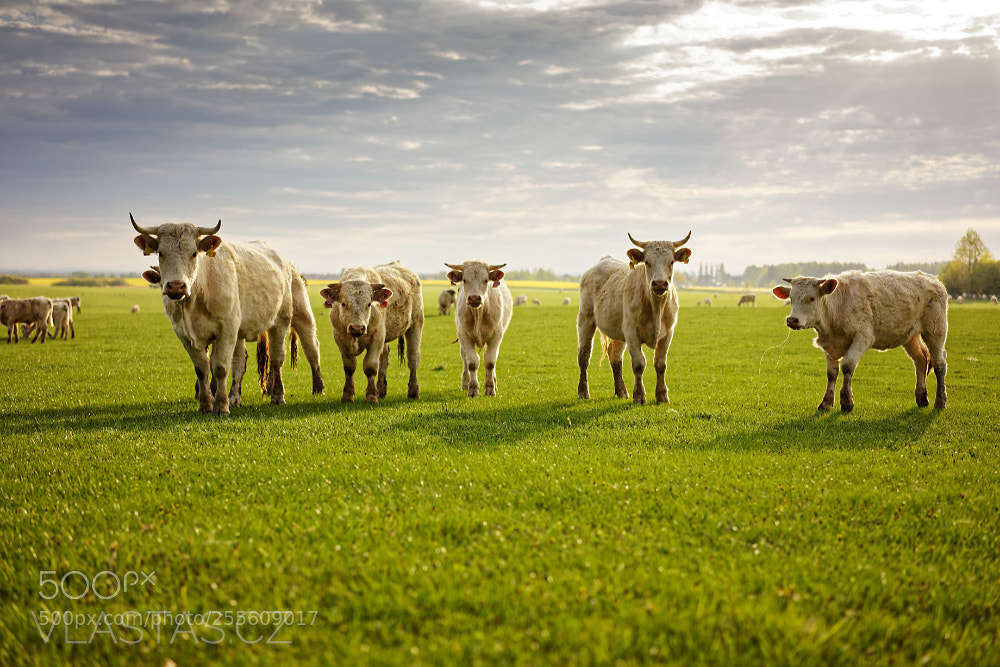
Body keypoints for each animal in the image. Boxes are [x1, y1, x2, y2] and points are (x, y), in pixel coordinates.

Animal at [131, 214, 324, 414]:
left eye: (194, 253)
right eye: (161, 253)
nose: (176, 286)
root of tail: (285, 262)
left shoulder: (227, 328)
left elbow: (220, 367)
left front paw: (221, 406)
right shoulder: (184, 334)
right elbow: (202, 368)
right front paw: (205, 404)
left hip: (289, 319)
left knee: (295, 353)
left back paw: (293, 392)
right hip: (243, 332)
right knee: (242, 362)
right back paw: (236, 398)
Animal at [319, 261, 423, 404]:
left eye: (369, 304)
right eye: (343, 304)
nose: (357, 328)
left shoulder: (377, 337)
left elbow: (371, 366)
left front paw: (371, 396)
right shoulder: (340, 338)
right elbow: (349, 367)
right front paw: (347, 395)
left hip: (415, 324)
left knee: (413, 358)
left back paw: (413, 391)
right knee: (384, 359)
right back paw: (381, 390)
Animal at [445, 261, 513, 397]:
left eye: (486, 280)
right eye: (464, 280)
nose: (474, 298)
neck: (479, 313)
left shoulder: (496, 335)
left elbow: (490, 362)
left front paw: (490, 388)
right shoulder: (465, 335)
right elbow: (472, 362)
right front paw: (472, 389)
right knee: (465, 358)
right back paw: (465, 383)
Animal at [577, 231, 692, 405]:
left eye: (671, 261)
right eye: (647, 262)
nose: (659, 284)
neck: (656, 308)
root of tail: (603, 260)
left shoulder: (668, 333)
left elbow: (661, 364)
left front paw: (662, 395)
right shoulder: (632, 333)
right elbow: (639, 364)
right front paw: (639, 396)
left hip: (618, 330)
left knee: (615, 357)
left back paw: (621, 391)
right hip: (586, 318)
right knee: (584, 356)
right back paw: (583, 392)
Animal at [771, 270, 948, 412]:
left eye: (812, 298)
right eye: (791, 299)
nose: (792, 320)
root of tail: (934, 279)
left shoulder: (863, 337)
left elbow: (847, 366)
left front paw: (846, 402)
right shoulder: (830, 346)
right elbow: (831, 373)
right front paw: (826, 403)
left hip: (935, 331)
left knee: (940, 364)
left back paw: (940, 401)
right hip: (910, 336)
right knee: (921, 360)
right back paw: (922, 398)